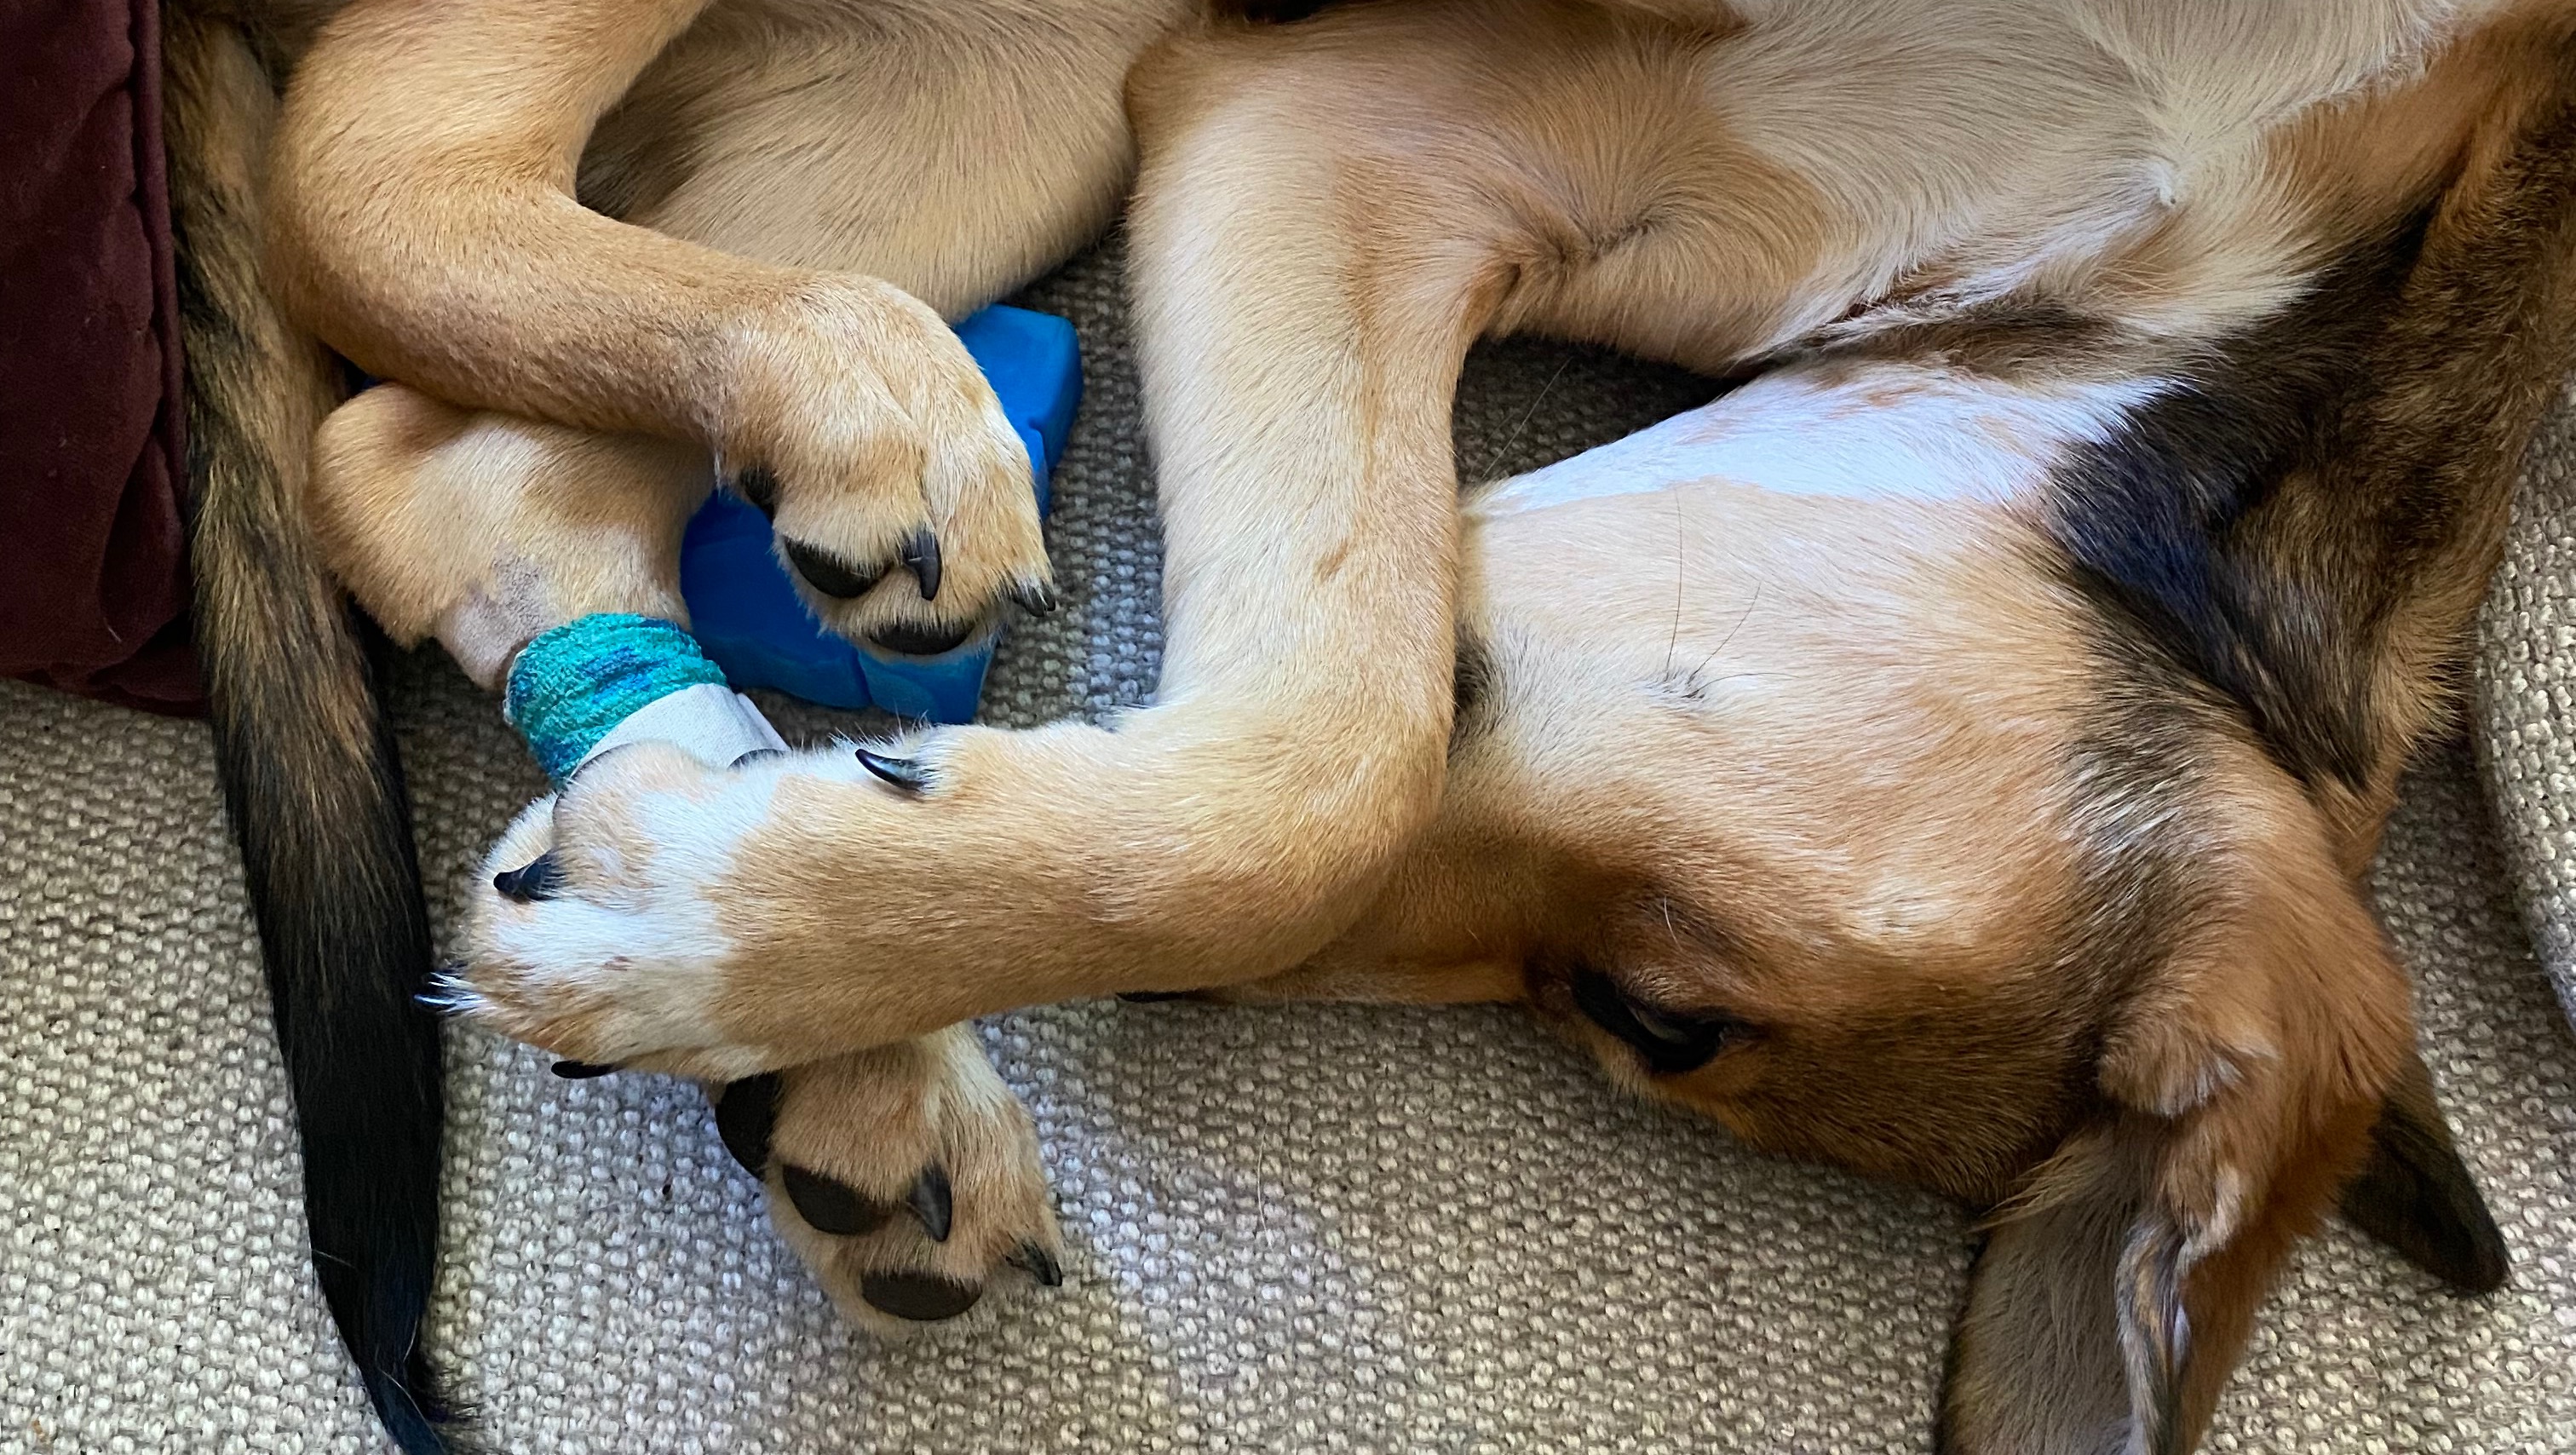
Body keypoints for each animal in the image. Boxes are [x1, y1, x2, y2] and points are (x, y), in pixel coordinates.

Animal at [165, 0, 2576, 1451]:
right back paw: (849, 399)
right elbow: (1338, 757)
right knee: (368, 189)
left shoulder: (1346, 128)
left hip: (1002, 83)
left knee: (435, 448)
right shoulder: (1347, 122)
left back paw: (827, 1034)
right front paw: (742, 931)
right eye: (1666, 1011)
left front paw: (723, 927)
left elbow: (1324, 744)